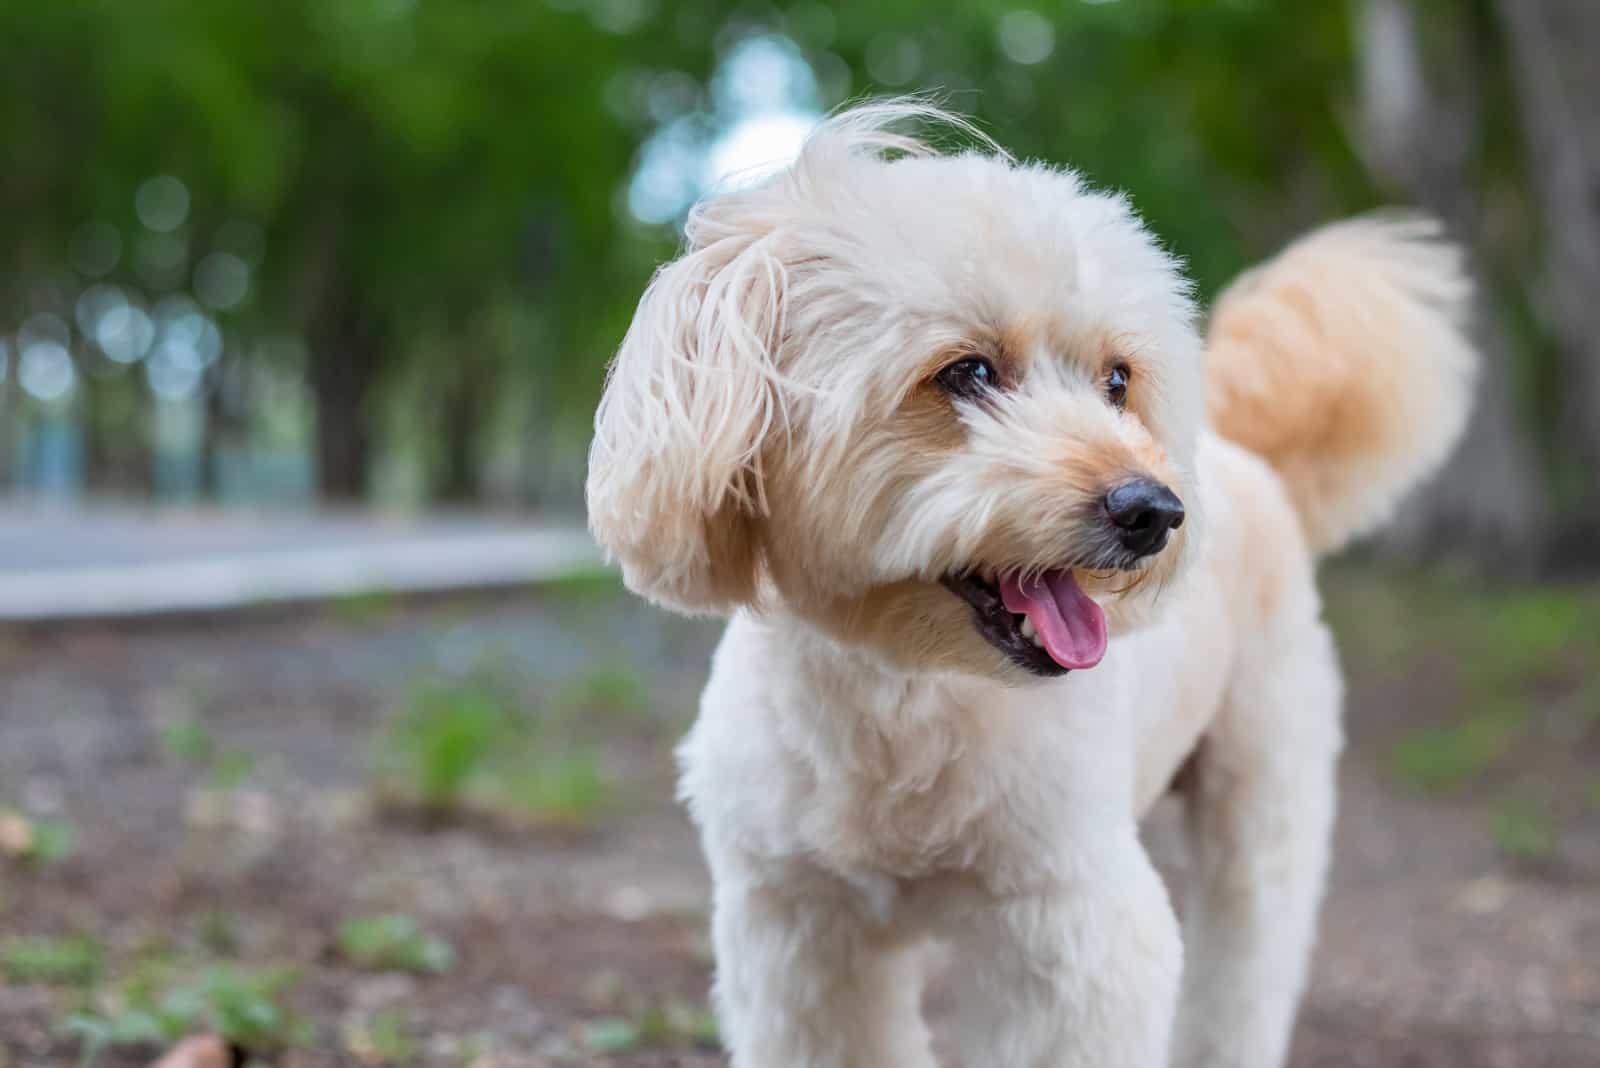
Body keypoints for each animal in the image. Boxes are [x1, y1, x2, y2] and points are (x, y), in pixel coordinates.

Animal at [585, 102, 1472, 1068]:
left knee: (1246, 964)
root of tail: (1242, 451)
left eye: (1118, 380)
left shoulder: (1072, 933)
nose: (1153, 510)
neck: (905, 693)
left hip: (1264, 795)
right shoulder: (799, 932)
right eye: (967, 372)